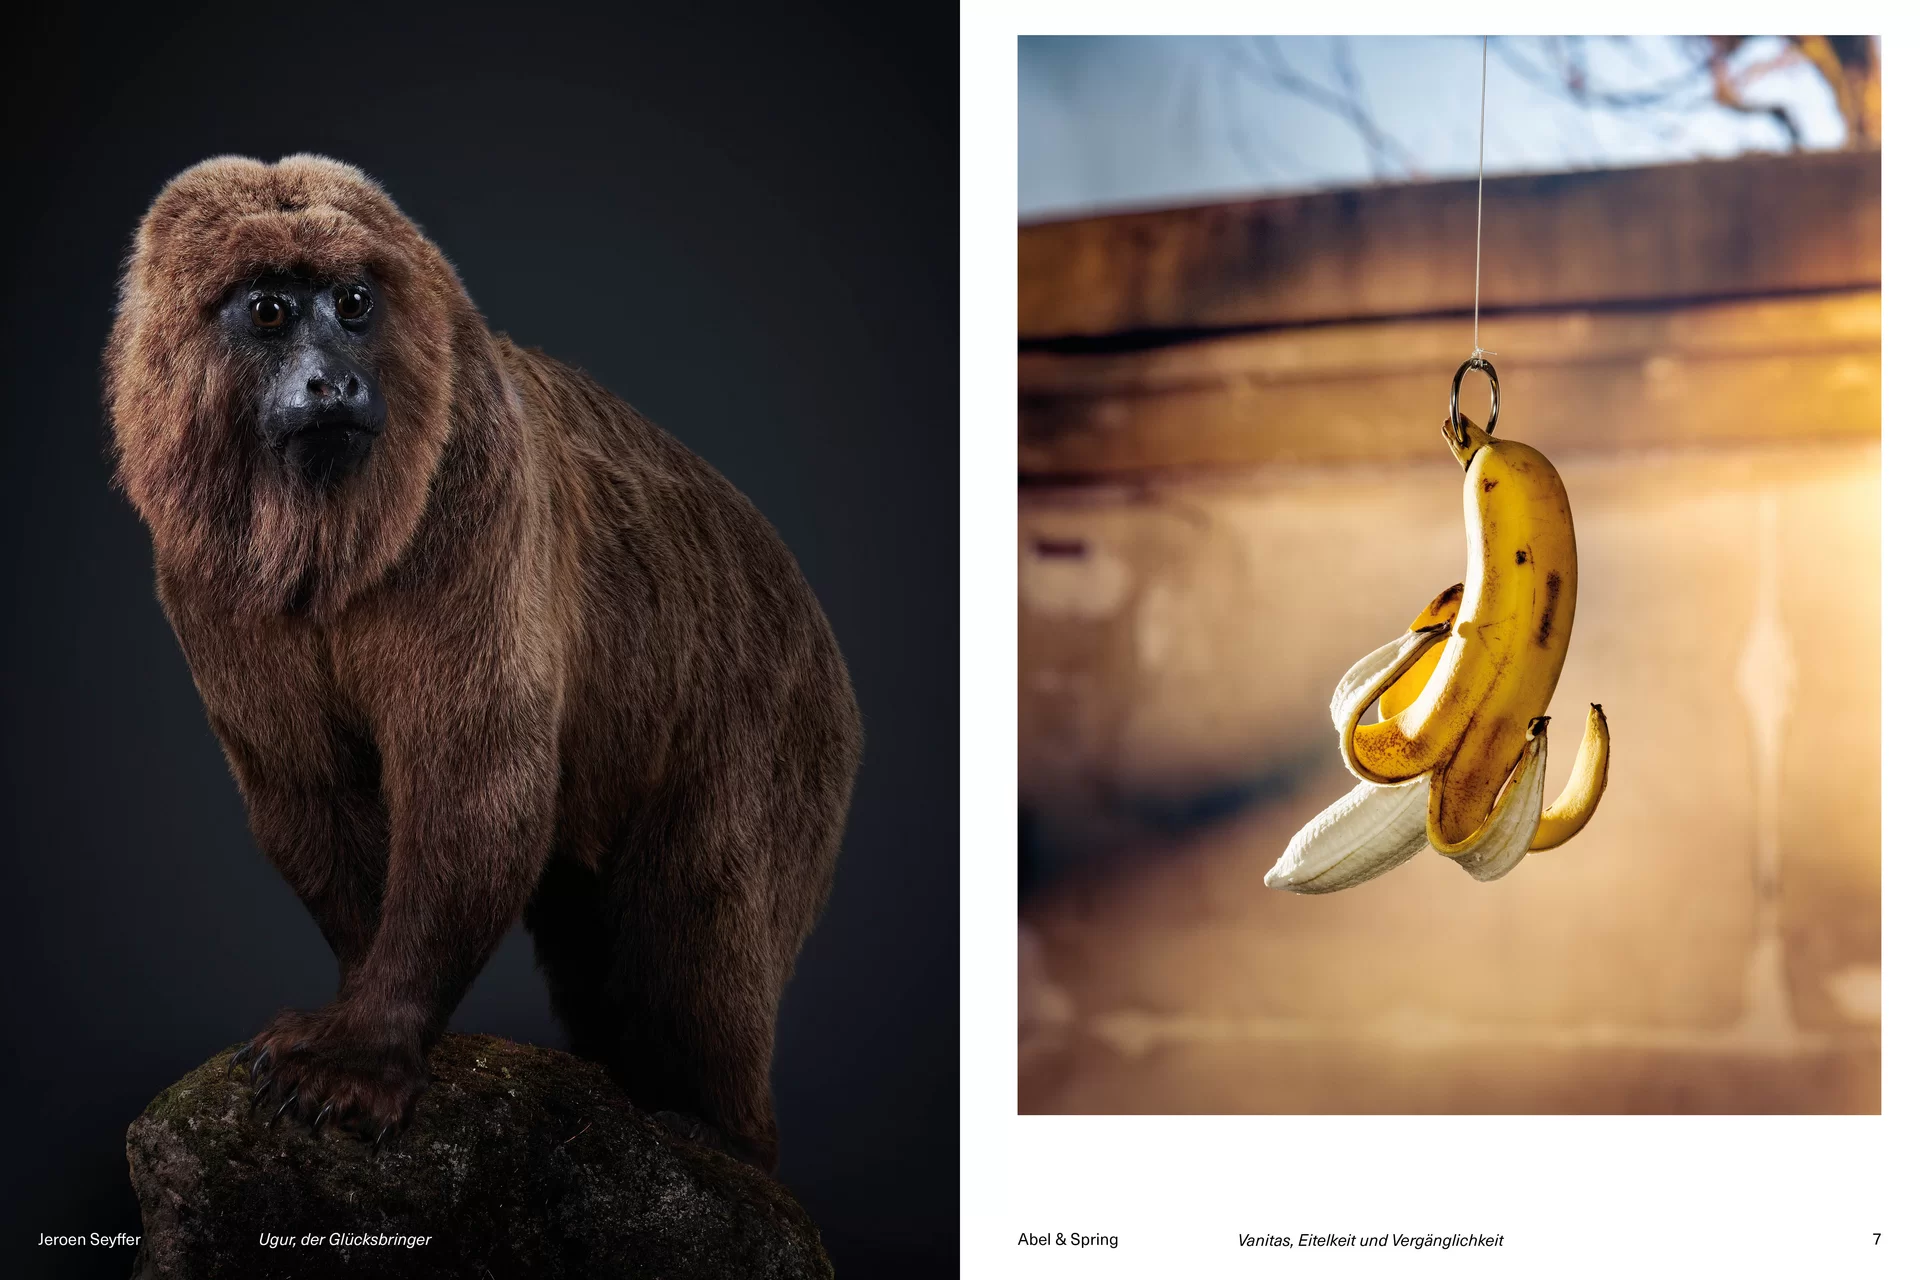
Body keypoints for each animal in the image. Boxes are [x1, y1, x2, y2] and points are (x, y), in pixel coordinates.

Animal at [102, 155, 861, 1173]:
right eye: (267, 309)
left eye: (353, 302)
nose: (332, 384)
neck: (333, 547)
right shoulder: (212, 585)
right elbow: (312, 789)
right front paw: (346, 1007)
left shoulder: (472, 500)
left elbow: (474, 778)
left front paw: (357, 1055)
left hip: (756, 721)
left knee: (698, 941)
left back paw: (722, 1130)